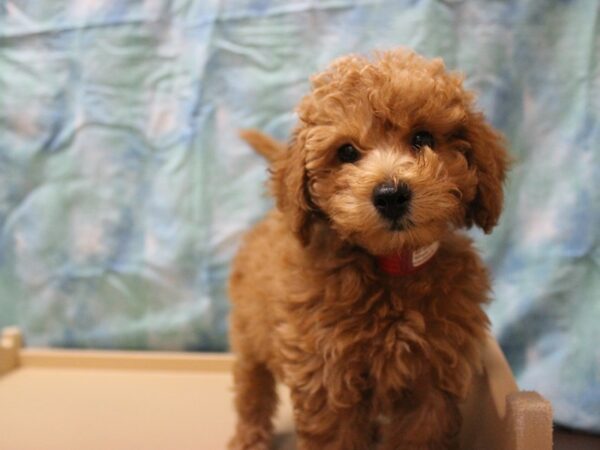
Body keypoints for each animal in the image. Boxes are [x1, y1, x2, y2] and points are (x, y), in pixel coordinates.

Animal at [227, 49, 508, 450]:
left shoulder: (433, 380)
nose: (390, 195)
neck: (392, 267)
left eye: (423, 138)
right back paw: (249, 435)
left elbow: (420, 434)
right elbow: (337, 435)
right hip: (249, 331)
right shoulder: (327, 377)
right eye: (346, 152)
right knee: (252, 385)